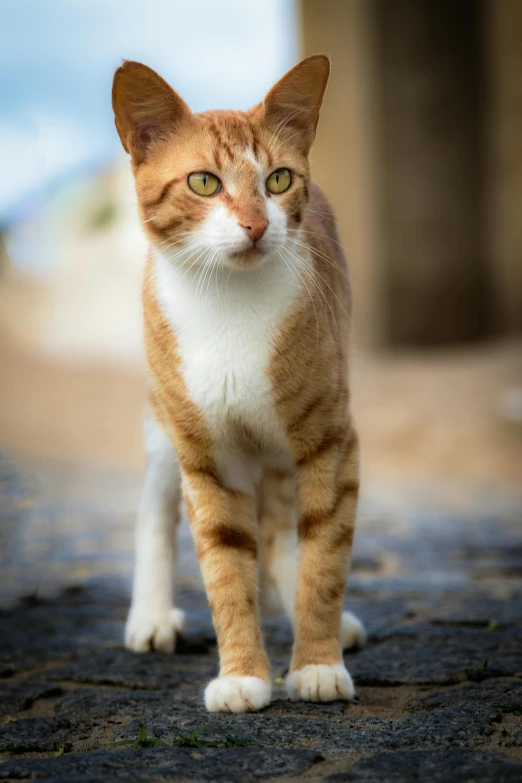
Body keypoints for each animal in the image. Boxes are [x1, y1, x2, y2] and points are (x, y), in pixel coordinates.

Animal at [111, 55, 364, 712]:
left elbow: (323, 552)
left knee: (282, 530)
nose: (254, 225)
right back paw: (151, 617)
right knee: (155, 508)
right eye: (204, 183)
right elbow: (225, 562)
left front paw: (316, 662)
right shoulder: (208, 456)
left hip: (281, 453)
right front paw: (243, 674)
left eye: (278, 180)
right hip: (163, 427)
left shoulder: (329, 441)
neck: (229, 306)